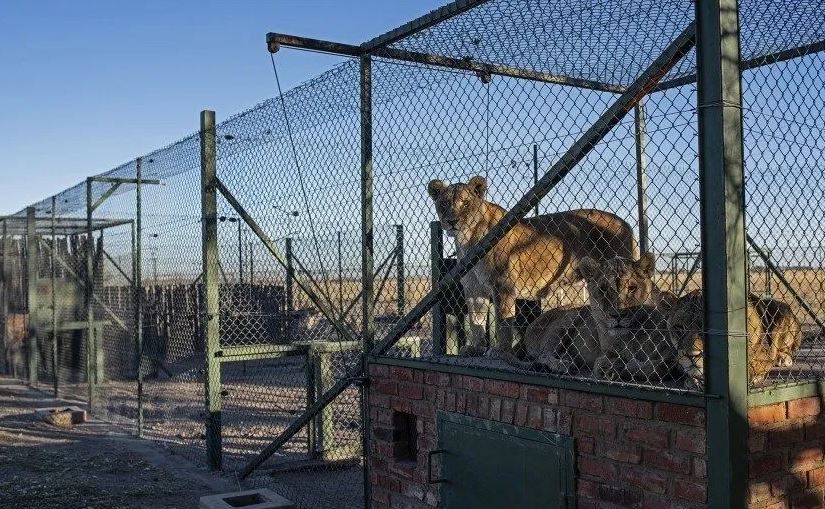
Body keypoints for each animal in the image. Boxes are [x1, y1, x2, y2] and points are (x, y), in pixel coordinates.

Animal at [428, 177, 636, 356]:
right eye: (444, 204)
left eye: (465, 203)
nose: (451, 222)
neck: (467, 239)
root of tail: (625, 223)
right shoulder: (473, 288)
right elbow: (475, 321)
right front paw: (475, 348)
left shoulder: (503, 285)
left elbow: (503, 322)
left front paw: (500, 351)